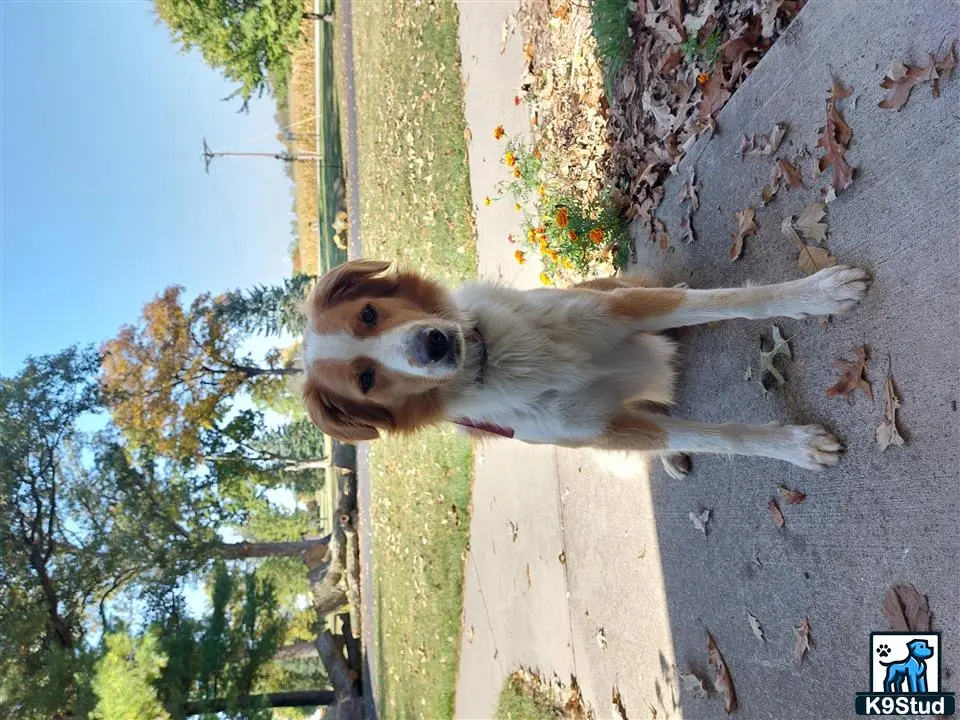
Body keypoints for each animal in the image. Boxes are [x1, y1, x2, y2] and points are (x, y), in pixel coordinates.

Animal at [302, 260, 872, 472]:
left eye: (369, 313)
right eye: (367, 381)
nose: (433, 345)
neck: (493, 360)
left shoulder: (620, 309)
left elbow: (728, 301)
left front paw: (817, 293)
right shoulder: (604, 429)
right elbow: (715, 436)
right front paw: (794, 446)